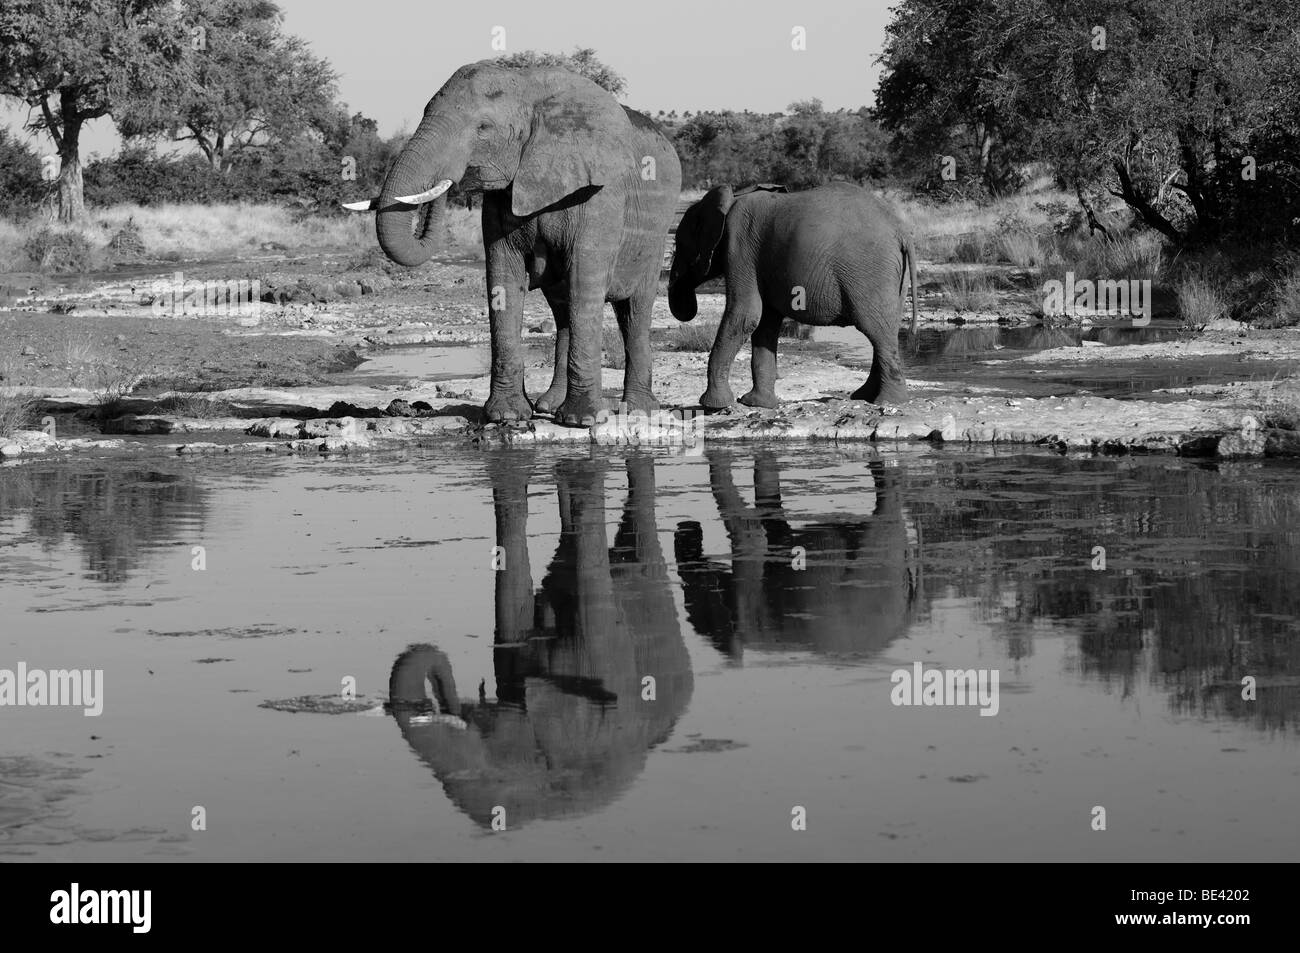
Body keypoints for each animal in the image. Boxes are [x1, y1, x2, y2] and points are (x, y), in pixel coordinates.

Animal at [345, 63, 686, 423]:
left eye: (483, 127)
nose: (449, 179)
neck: (530, 86)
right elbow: (503, 278)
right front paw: (506, 416)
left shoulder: (599, 194)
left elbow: (584, 280)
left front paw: (582, 421)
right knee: (563, 311)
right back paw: (548, 406)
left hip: (654, 239)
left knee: (634, 312)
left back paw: (638, 409)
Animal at [665, 183, 920, 408]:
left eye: (679, 244)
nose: (688, 307)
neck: (732, 197)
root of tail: (901, 231)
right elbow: (765, 324)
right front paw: (757, 404)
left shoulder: (740, 246)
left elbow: (746, 315)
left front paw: (713, 406)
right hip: (894, 276)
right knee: (886, 329)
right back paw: (864, 397)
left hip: (869, 272)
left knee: (876, 330)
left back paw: (887, 402)